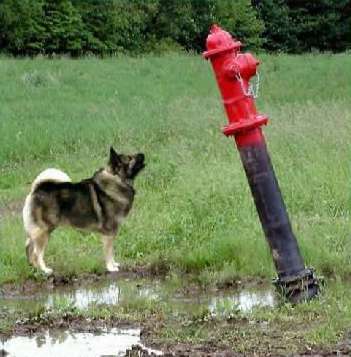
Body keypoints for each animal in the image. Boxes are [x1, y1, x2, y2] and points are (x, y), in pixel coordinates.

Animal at [22, 146, 146, 274]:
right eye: (130, 158)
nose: (143, 154)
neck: (117, 179)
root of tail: (36, 189)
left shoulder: (112, 232)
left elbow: (112, 251)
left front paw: (114, 264)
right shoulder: (109, 232)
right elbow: (109, 252)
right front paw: (111, 267)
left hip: (37, 230)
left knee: (28, 246)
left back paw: (34, 268)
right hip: (44, 230)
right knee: (36, 253)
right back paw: (45, 270)